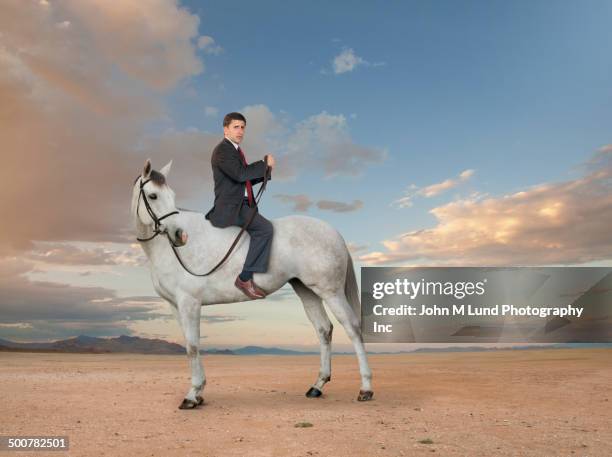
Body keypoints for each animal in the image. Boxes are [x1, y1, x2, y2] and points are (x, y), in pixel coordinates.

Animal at [130, 159, 372, 408]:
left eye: (171, 195)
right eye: (153, 196)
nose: (179, 235)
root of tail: (333, 232)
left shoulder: (190, 302)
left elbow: (193, 346)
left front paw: (192, 394)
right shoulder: (175, 305)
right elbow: (190, 345)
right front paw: (198, 393)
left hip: (330, 291)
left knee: (352, 328)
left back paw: (365, 388)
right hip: (307, 290)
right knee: (324, 329)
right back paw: (317, 386)